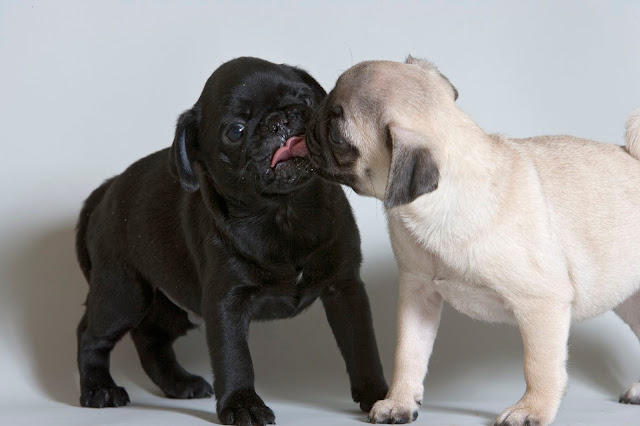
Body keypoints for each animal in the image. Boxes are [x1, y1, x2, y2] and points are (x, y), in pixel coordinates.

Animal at [73, 57, 388, 426]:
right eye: (235, 131)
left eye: (305, 99)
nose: (279, 120)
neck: (285, 210)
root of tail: (106, 189)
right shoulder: (226, 302)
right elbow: (234, 358)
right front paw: (243, 405)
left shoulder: (345, 288)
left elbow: (362, 346)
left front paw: (380, 396)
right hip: (123, 294)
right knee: (91, 335)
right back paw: (99, 389)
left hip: (173, 307)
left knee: (151, 339)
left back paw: (179, 384)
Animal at [304, 55, 640, 424]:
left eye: (337, 135)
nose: (310, 118)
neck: (444, 199)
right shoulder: (417, 292)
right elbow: (408, 353)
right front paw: (400, 401)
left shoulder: (542, 302)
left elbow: (539, 366)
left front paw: (532, 410)